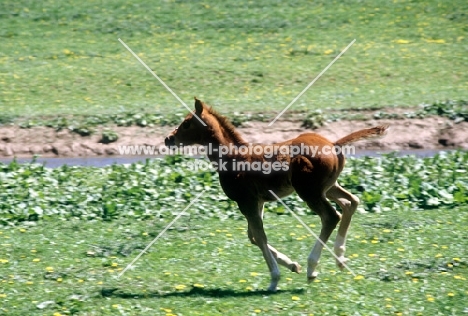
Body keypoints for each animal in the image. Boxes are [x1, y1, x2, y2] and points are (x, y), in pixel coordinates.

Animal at [165, 98, 388, 292]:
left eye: (186, 124)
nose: (168, 139)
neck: (231, 158)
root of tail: (334, 145)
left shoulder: (245, 201)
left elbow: (260, 236)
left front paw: (275, 279)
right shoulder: (258, 202)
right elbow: (253, 236)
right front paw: (292, 265)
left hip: (309, 191)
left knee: (331, 216)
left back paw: (312, 268)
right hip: (328, 187)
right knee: (351, 202)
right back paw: (340, 258)